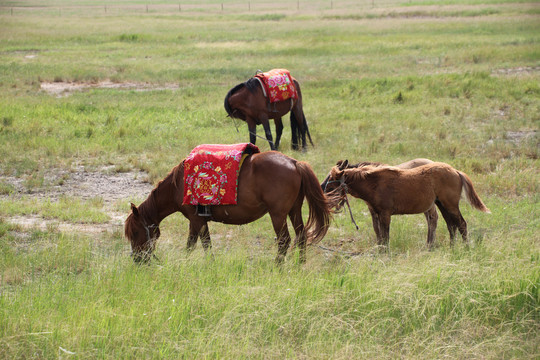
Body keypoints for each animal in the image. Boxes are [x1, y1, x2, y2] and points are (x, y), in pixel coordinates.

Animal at [125, 150, 332, 262]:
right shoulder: (198, 220)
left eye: (135, 232)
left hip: (278, 215)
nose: (137, 260)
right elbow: (198, 243)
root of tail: (294, 163)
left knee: (284, 241)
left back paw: (278, 267)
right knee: (301, 237)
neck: (179, 185)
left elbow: (199, 244)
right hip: (294, 210)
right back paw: (299, 265)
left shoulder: (195, 219)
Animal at [322, 160, 492, 248]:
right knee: (451, 225)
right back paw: (451, 247)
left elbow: (385, 236)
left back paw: (465, 248)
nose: (322, 191)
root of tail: (456, 171)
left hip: (450, 204)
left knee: (461, 224)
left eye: (331, 181)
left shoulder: (385, 214)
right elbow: (380, 235)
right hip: (442, 204)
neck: (374, 183)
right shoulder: (376, 213)